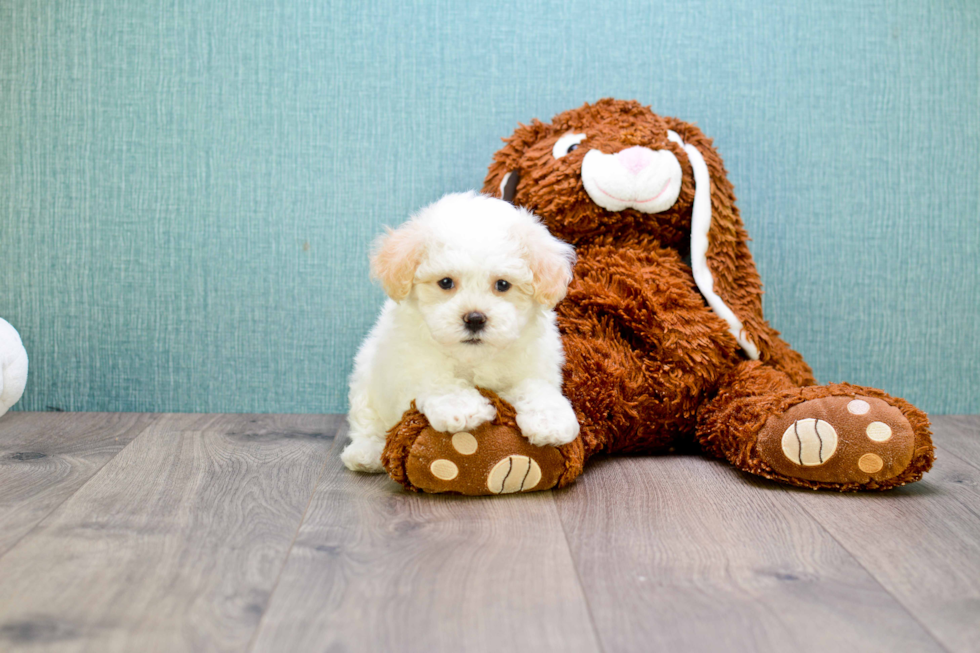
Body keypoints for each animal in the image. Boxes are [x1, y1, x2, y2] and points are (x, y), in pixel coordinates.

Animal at [340, 191, 580, 472]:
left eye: (502, 284)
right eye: (446, 282)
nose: (475, 319)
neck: (473, 358)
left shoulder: (534, 363)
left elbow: (536, 387)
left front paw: (550, 420)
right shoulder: (409, 363)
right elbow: (439, 380)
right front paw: (462, 408)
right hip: (365, 380)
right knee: (366, 422)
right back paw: (366, 453)